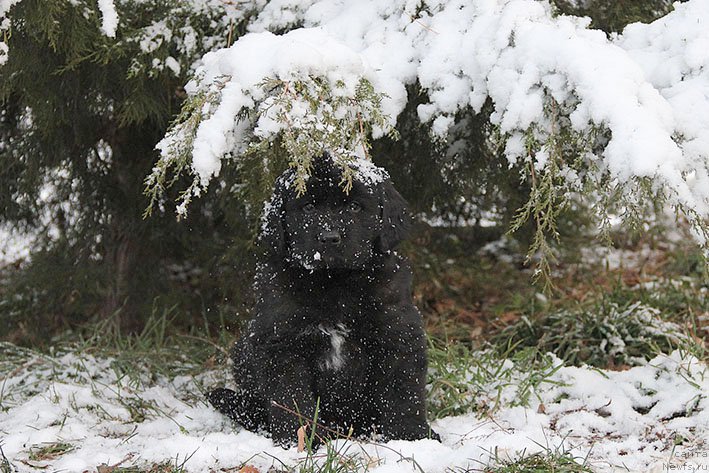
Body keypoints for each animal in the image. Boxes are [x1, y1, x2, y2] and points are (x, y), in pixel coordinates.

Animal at [206, 156, 436, 446]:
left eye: (354, 206)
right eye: (309, 206)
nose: (329, 237)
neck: (334, 283)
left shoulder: (397, 333)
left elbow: (403, 391)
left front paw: (412, 438)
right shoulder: (282, 343)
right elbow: (291, 397)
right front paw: (301, 440)